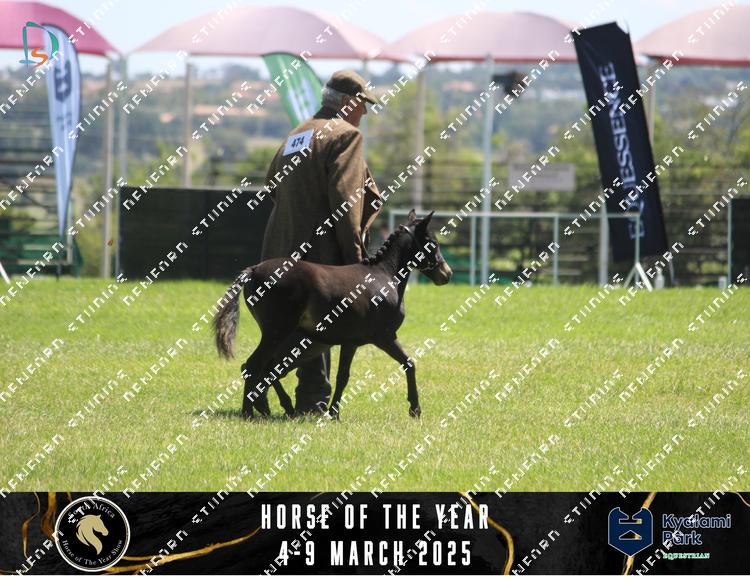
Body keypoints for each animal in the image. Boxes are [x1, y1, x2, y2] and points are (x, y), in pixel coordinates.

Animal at [213, 209, 452, 420]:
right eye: (433, 243)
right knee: (255, 366)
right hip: (276, 333)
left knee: (267, 368)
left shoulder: (351, 342)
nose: (447, 274)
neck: (384, 277)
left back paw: (281, 407)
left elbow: (342, 376)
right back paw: (249, 412)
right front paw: (415, 409)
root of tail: (253, 270)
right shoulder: (384, 337)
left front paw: (334, 413)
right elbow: (409, 364)